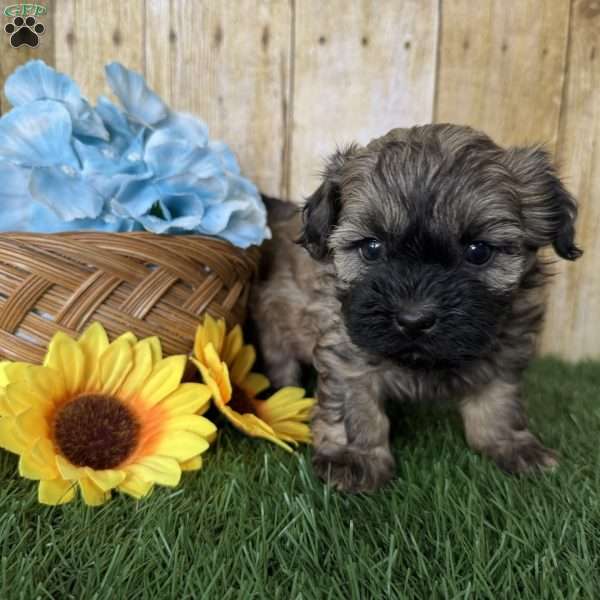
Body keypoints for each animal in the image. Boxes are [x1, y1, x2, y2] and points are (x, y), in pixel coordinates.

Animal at [250, 125, 580, 492]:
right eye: (371, 247)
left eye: (479, 251)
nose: (414, 319)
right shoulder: (346, 351)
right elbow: (357, 408)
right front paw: (355, 457)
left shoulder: (504, 348)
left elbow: (499, 402)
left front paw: (512, 445)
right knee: (281, 363)